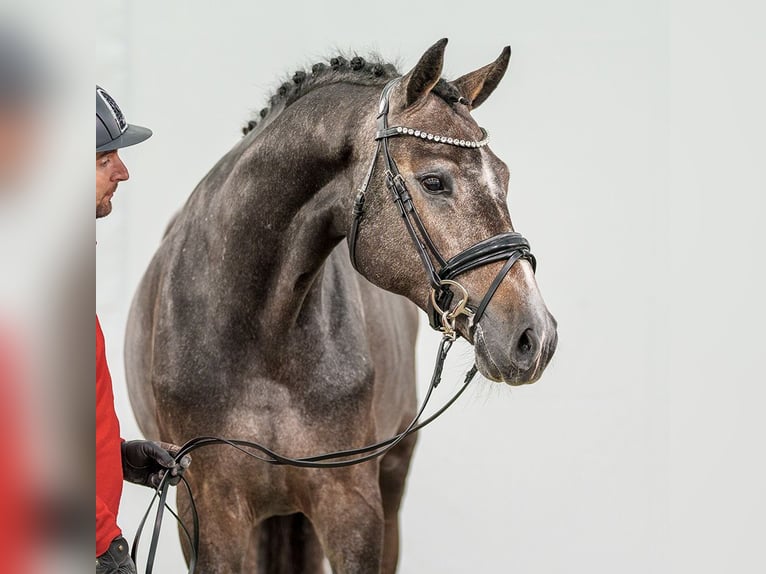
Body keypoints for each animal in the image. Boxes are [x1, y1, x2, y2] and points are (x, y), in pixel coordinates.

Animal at [126, 38, 560, 572]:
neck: (259, 332)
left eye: (504, 176)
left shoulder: (350, 506)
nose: (535, 335)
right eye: (434, 181)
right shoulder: (210, 511)